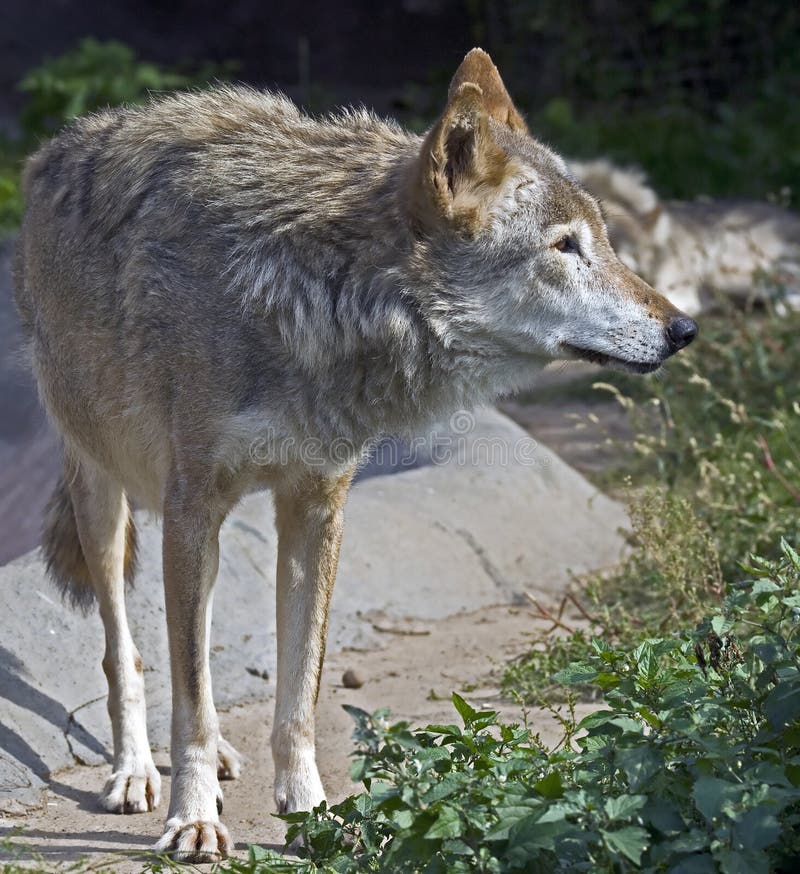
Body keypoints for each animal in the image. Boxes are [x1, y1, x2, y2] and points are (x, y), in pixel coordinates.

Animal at [15, 47, 696, 860]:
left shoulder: (316, 508)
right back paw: (135, 772)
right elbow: (190, 696)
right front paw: (194, 819)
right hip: (105, 496)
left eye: (606, 239)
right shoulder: (192, 509)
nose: (685, 329)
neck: (318, 292)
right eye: (565, 247)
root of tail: (56, 147)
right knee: (130, 652)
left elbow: (297, 694)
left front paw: (310, 812)